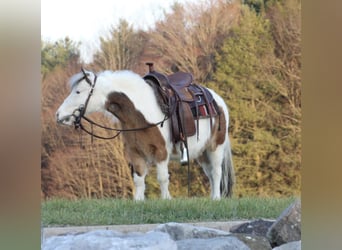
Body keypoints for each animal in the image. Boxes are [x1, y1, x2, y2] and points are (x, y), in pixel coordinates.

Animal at [56, 69, 235, 201]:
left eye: (78, 91)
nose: (58, 115)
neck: (141, 112)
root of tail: (218, 100)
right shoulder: (135, 153)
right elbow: (139, 179)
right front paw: (139, 201)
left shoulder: (161, 152)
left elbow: (162, 178)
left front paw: (166, 199)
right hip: (201, 153)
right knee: (210, 173)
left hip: (215, 147)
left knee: (216, 172)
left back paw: (216, 198)